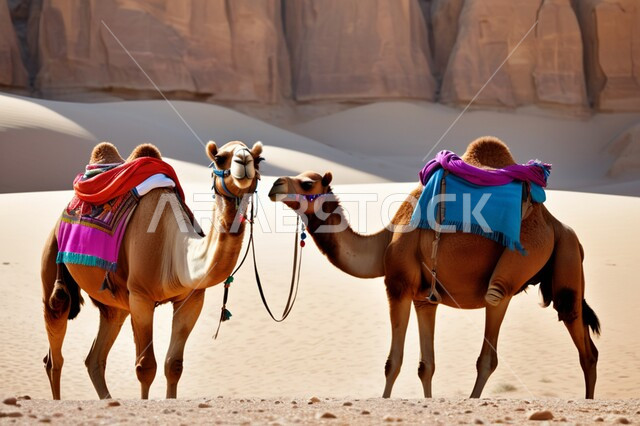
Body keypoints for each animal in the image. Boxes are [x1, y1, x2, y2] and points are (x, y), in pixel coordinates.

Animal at [41, 139, 263, 399]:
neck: (173, 253)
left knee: (94, 357)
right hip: (52, 261)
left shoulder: (191, 299)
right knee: (55, 347)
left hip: (114, 305)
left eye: (258, 159)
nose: (244, 161)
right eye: (219, 158)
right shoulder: (141, 297)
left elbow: (173, 365)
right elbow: (146, 366)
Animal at [268, 137, 600, 399]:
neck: (384, 241)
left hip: (528, 255)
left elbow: (393, 363)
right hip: (567, 257)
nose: (274, 184)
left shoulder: (398, 287)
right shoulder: (424, 299)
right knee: (587, 345)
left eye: (307, 183)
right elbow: (425, 366)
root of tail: (556, 225)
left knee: (498, 329)